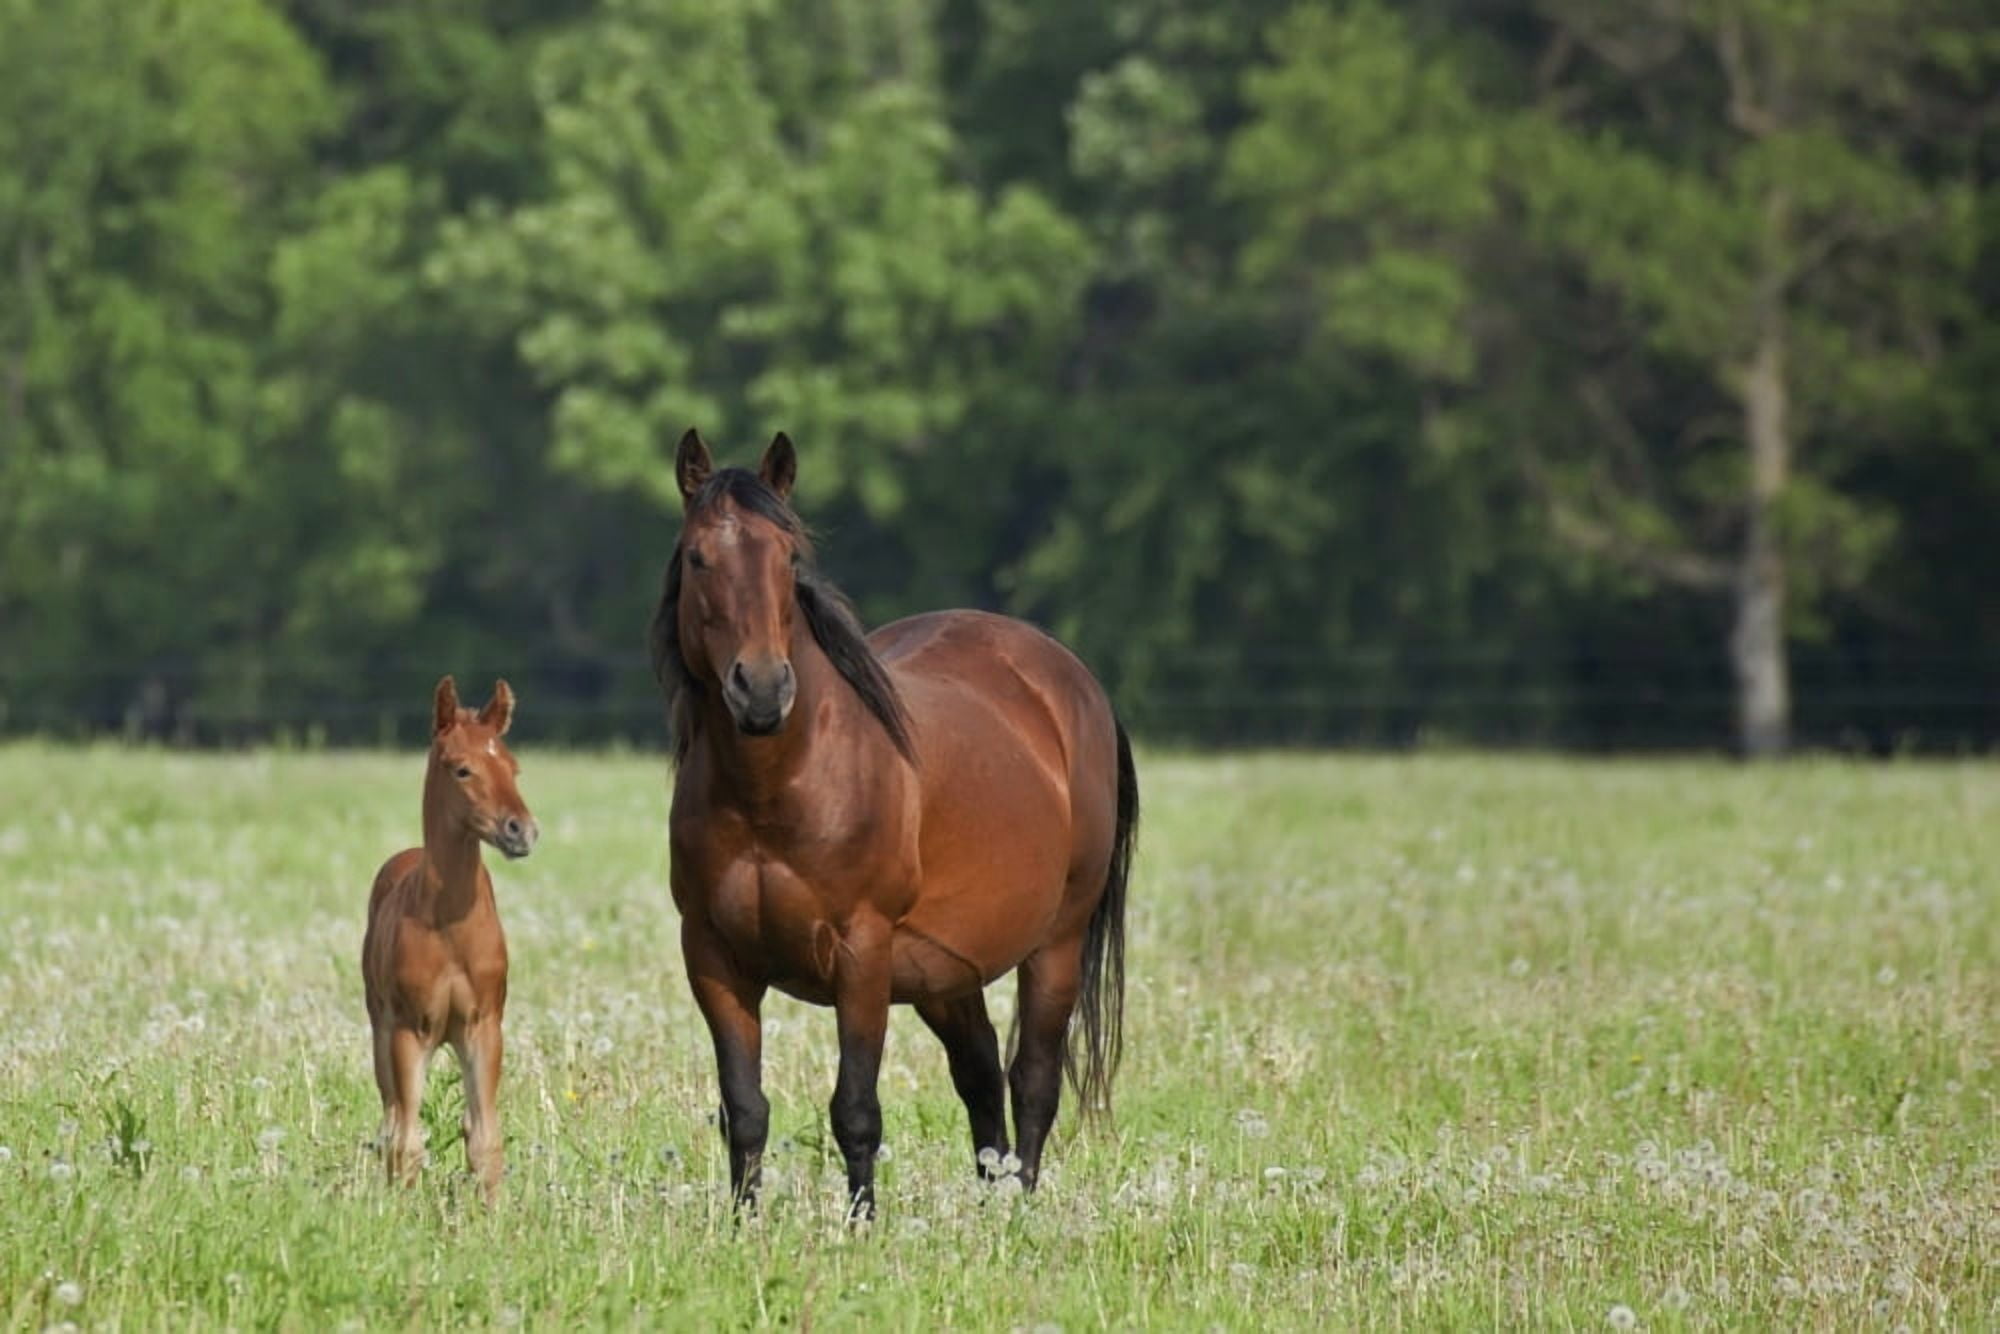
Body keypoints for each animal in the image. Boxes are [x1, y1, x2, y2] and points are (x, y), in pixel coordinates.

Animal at [361, 676, 539, 1201]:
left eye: (513, 767)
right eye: (462, 769)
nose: (521, 830)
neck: (449, 928)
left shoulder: (483, 1027)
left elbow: (485, 1140)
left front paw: (494, 1214)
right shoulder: (408, 1031)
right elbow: (407, 1141)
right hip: (380, 1026)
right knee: (391, 1122)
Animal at [650, 429, 1138, 1217]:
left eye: (789, 557)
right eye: (698, 557)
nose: (762, 690)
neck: (774, 788)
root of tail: (1071, 679)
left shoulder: (862, 955)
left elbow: (855, 1109)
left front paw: (860, 1225)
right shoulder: (714, 959)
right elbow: (744, 1108)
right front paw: (743, 1225)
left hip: (1056, 943)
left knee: (1032, 1078)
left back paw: (1021, 1212)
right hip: (947, 969)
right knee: (981, 1076)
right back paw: (988, 1208)